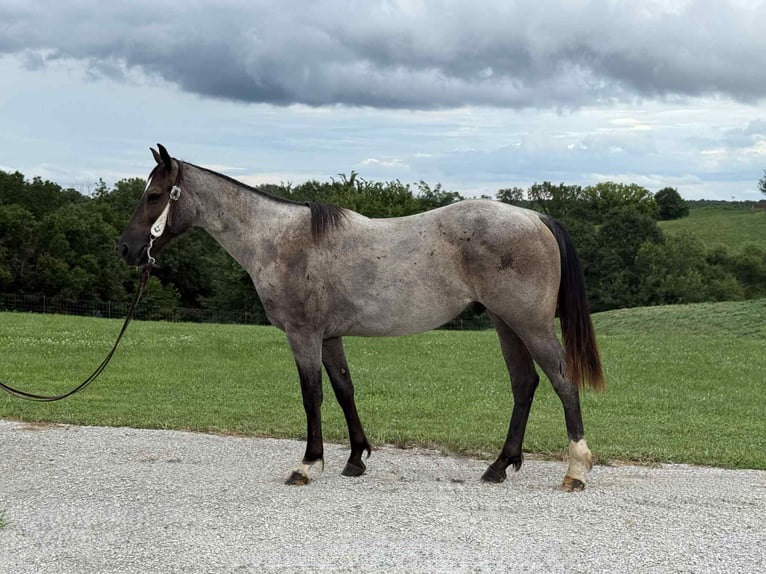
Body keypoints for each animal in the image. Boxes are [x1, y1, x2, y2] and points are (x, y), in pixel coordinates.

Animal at [119, 144, 605, 492]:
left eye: (154, 196)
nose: (126, 249)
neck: (279, 240)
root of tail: (535, 216)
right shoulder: (330, 336)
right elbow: (344, 390)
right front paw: (355, 459)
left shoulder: (304, 335)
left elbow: (312, 395)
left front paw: (308, 464)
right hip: (507, 325)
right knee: (525, 385)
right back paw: (499, 466)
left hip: (530, 325)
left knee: (563, 382)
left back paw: (576, 470)